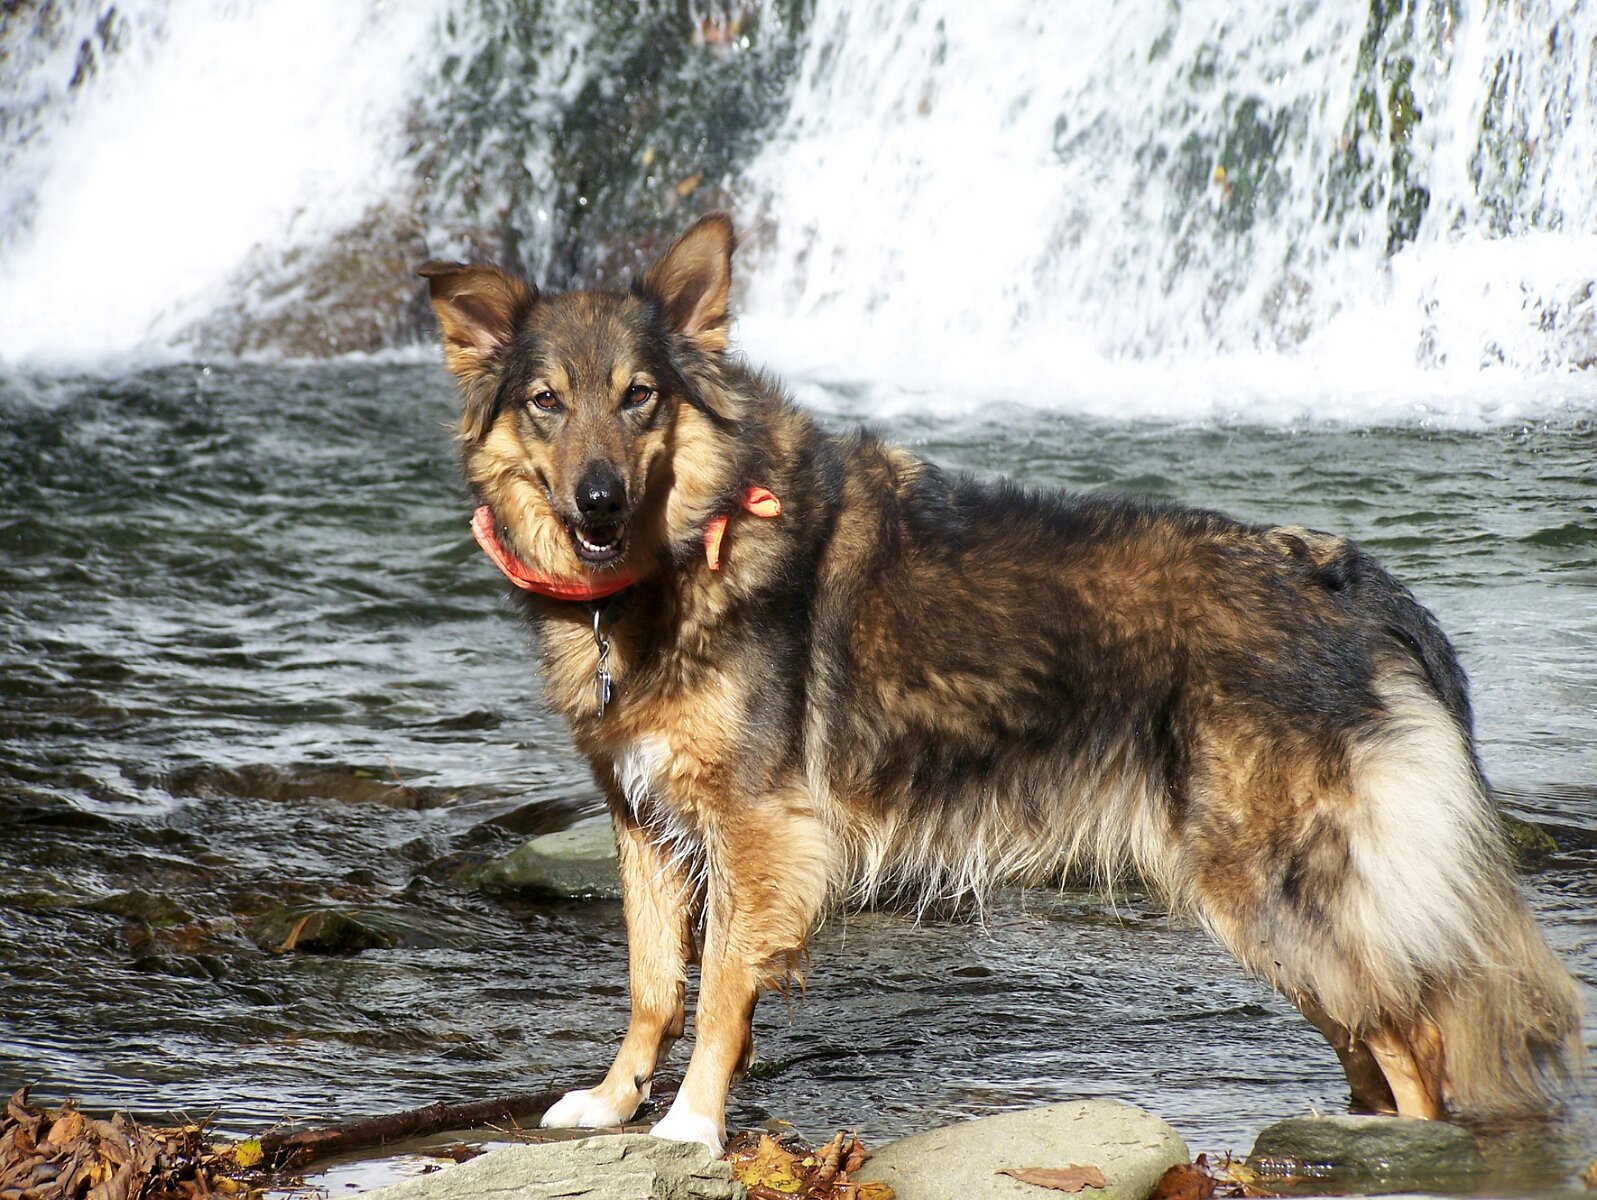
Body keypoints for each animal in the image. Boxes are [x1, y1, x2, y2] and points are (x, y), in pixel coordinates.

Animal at [420, 214, 1580, 1153]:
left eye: (640, 398)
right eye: (545, 403)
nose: (599, 502)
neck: (684, 548)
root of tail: (1348, 578)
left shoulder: (756, 835)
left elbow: (715, 1000)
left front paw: (691, 1127)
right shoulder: (646, 822)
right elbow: (653, 986)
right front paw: (614, 1103)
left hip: (1275, 891)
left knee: (1416, 1044)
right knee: (1375, 1045)